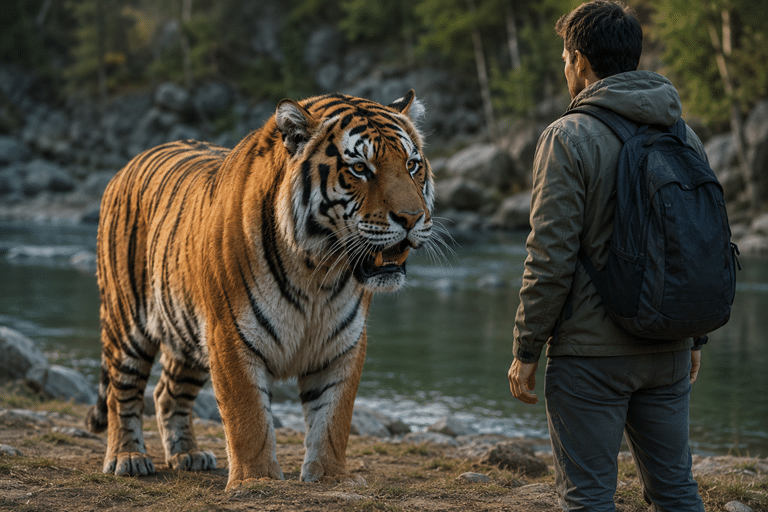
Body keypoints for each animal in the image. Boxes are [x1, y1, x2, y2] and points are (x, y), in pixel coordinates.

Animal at [85, 90, 436, 489]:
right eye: (360, 168)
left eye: (412, 165)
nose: (412, 218)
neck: (319, 273)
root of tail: (127, 165)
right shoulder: (230, 335)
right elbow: (248, 418)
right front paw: (256, 480)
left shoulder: (341, 344)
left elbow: (333, 419)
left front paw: (330, 478)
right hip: (128, 321)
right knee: (122, 390)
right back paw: (127, 457)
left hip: (187, 338)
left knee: (167, 393)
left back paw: (188, 455)